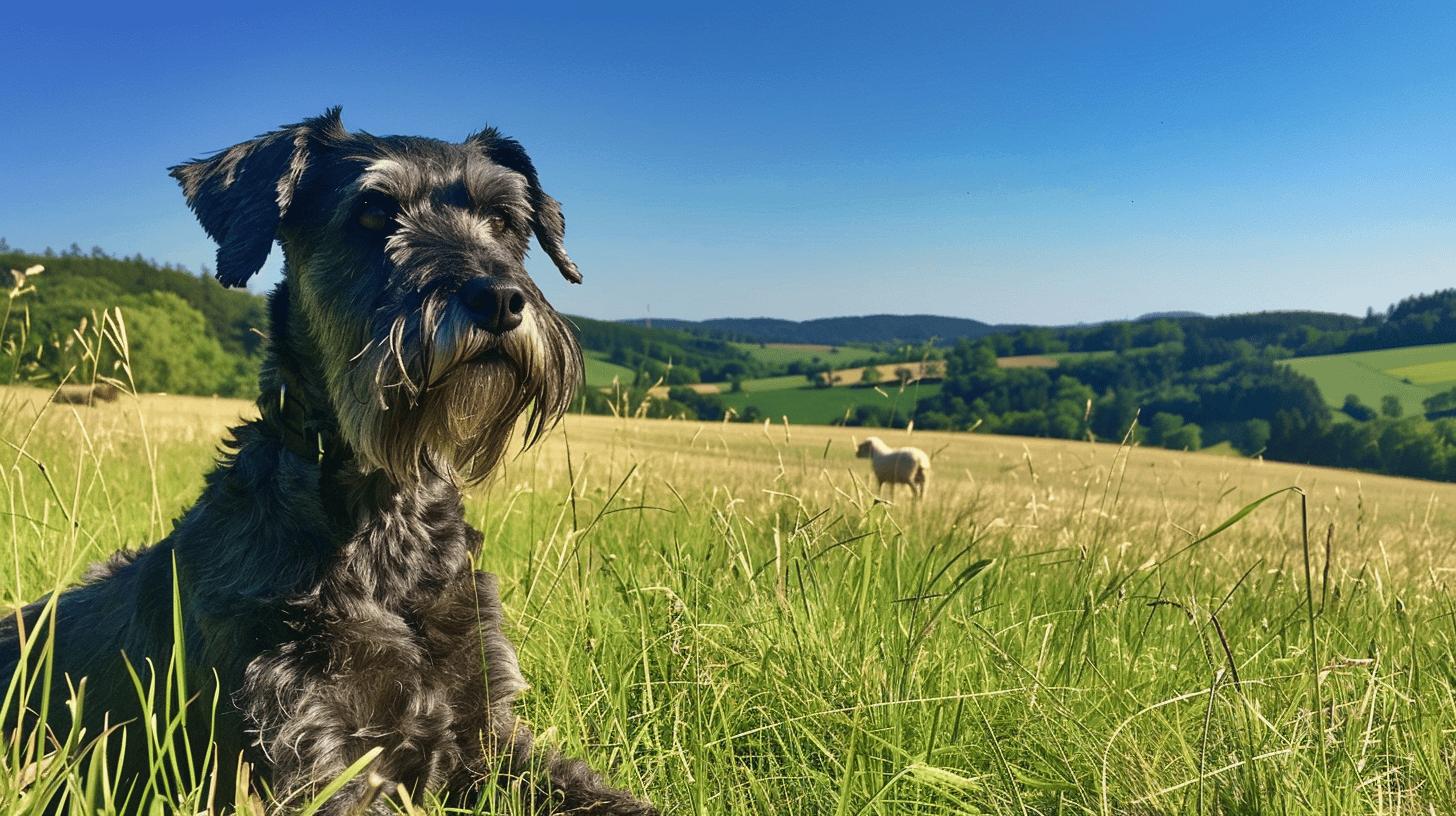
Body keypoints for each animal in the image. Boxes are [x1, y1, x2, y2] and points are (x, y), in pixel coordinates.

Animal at [0, 108, 658, 816]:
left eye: (506, 219)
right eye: (372, 213)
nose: (501, 298)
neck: (383, 515)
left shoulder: (487, 732)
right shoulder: (312, 747)